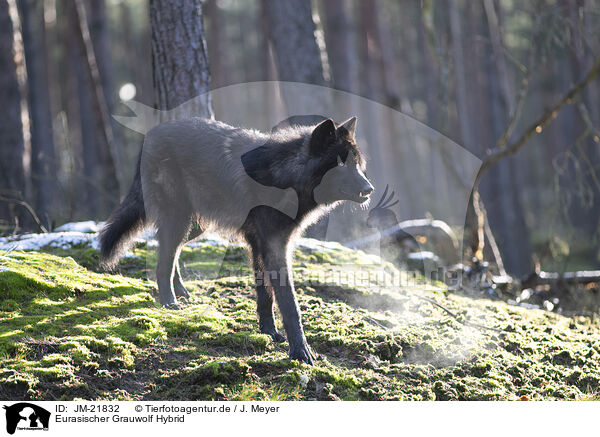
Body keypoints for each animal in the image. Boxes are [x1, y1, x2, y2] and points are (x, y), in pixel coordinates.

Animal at [99, 114, 372, 362]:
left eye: (357, 164)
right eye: (341, 164)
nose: (370, 189)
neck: (284, 177)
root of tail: (151, 134)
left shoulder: (259, 245)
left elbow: (265, 295)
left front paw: (269, 332)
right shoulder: (275, 246)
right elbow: (289, 303)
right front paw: (300, 351)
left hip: (194, 227)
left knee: (167, 252)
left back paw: (182, 293)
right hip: (179, 221)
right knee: (162, 261)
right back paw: (170, 303)